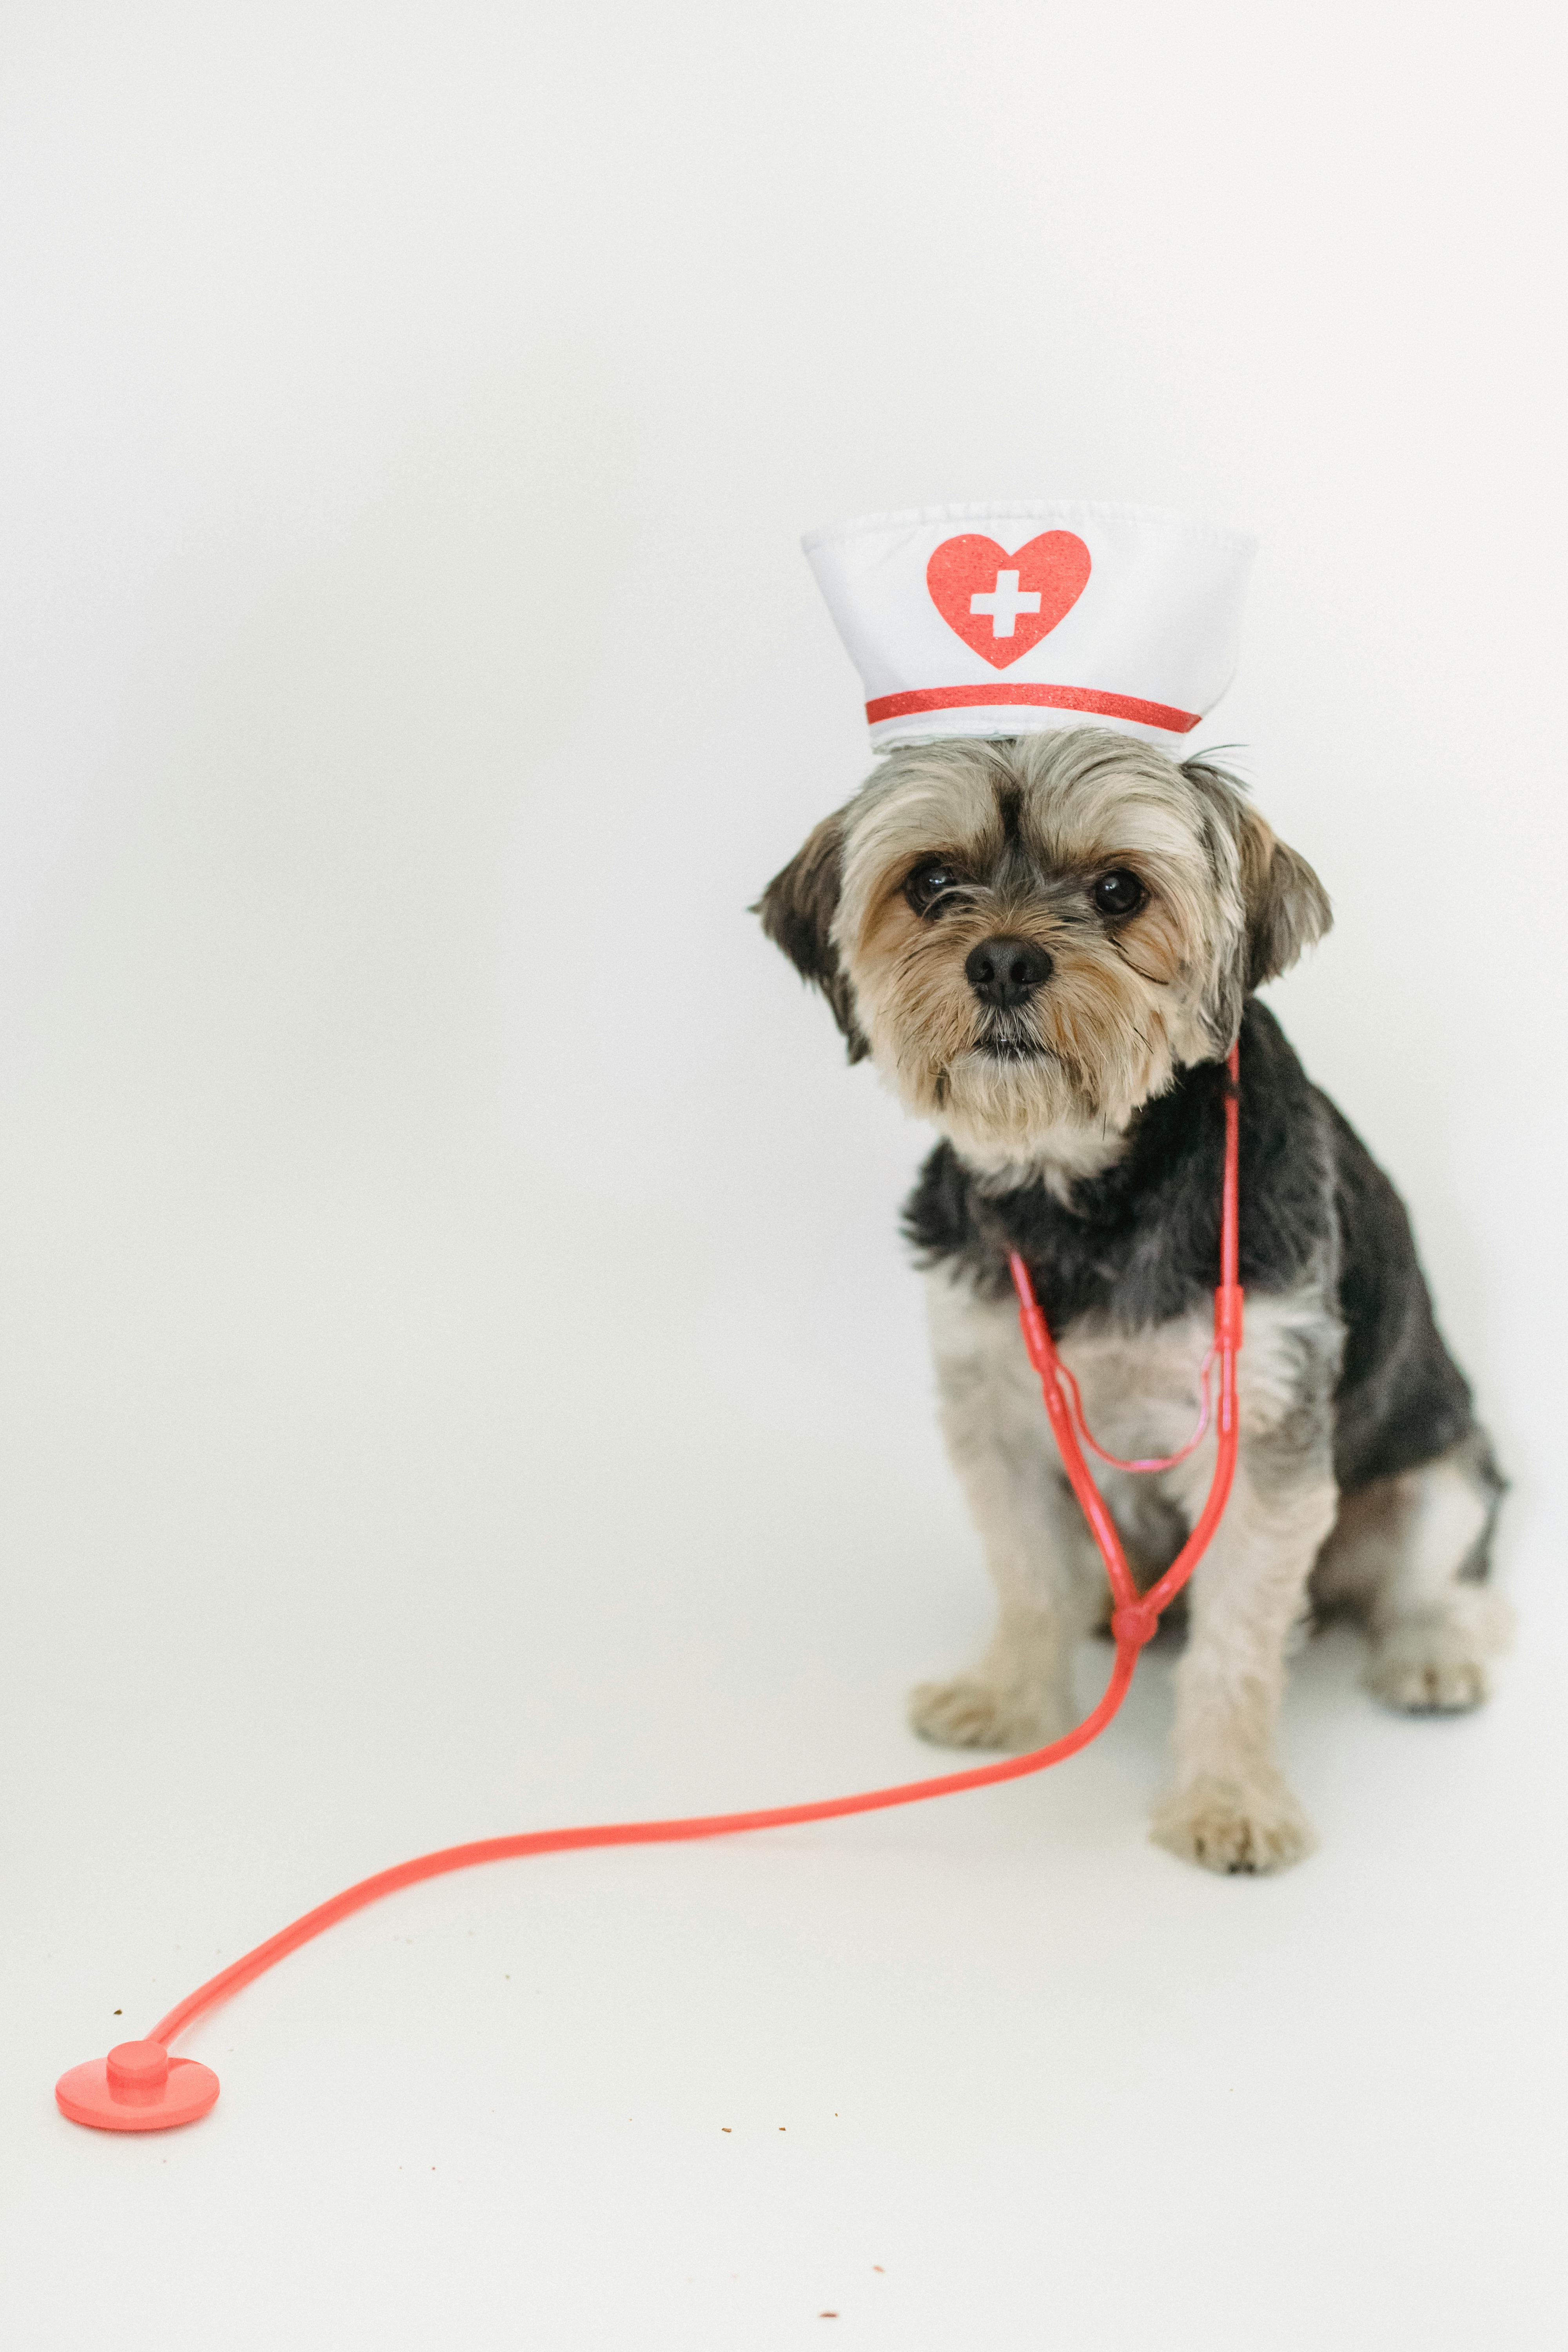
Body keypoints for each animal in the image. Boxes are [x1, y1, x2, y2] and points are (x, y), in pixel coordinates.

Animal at [762, 729, 1504, 1872]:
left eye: (1119, 891)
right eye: (929, 883)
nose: (1004, 961)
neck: (1080, 1193)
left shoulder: (1266, 1435)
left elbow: (1238, 1643)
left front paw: (1229, 1799)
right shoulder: (996, 1412)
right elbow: (1027, 1573)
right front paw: (1010, 1696)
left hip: (1444, 1467)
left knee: (1444, 1576)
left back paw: (1429, 1653)